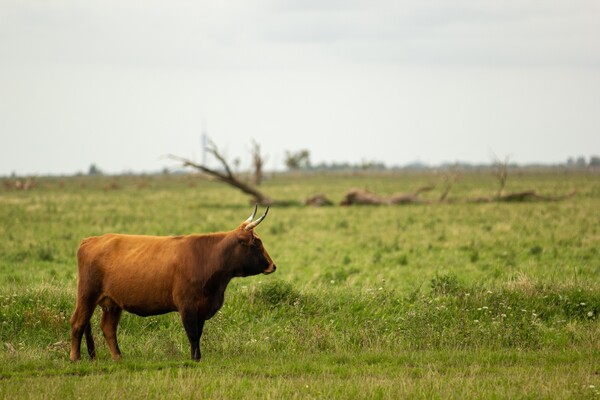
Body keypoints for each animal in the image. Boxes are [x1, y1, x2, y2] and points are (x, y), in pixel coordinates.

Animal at [70, 206, 276, 362]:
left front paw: (197, 357)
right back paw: (75, 358)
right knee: (78, 322)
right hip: (87, 295)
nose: (272, 266)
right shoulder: (187, 306)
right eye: (256, 243)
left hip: (112, 303)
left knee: (108, 328)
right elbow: (192, 334)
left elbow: (198, 333)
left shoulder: (202, 307)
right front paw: (195, 359)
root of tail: (91, 240)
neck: (208, 257)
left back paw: (118, 357)